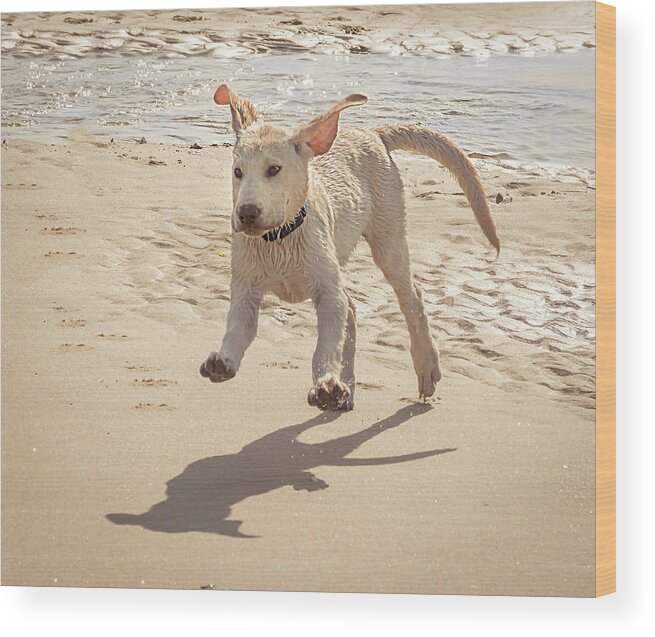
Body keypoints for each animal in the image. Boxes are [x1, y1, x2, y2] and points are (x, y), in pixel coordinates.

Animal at [197, 84, 500, 410]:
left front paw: (325, 383)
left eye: (274, 169)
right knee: (353, 310)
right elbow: (236, 331)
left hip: (388, 241)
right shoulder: (246, 293)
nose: (246, 213)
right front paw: (223, 361)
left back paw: (426, 367)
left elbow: (325, 346)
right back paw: (347, 388)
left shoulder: (328, 294)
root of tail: (372, 133)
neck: (280, 238)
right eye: (237, 172)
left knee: (412, 297)